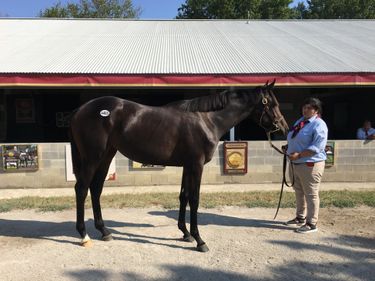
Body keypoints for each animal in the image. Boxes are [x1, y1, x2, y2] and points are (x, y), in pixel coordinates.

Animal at [70, 80, 288, 250]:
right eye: (272, 103)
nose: (284, 128)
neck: (207, 119)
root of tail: (81, 110)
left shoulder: (187, 165)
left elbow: (183, 196)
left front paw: (185, 233)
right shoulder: (197, 165)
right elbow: (194, 199)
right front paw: (199, 240)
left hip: (106, 155)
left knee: (96, 189)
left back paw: (104, 230)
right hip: (93, 157)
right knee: (82, 189)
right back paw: (84, 235)